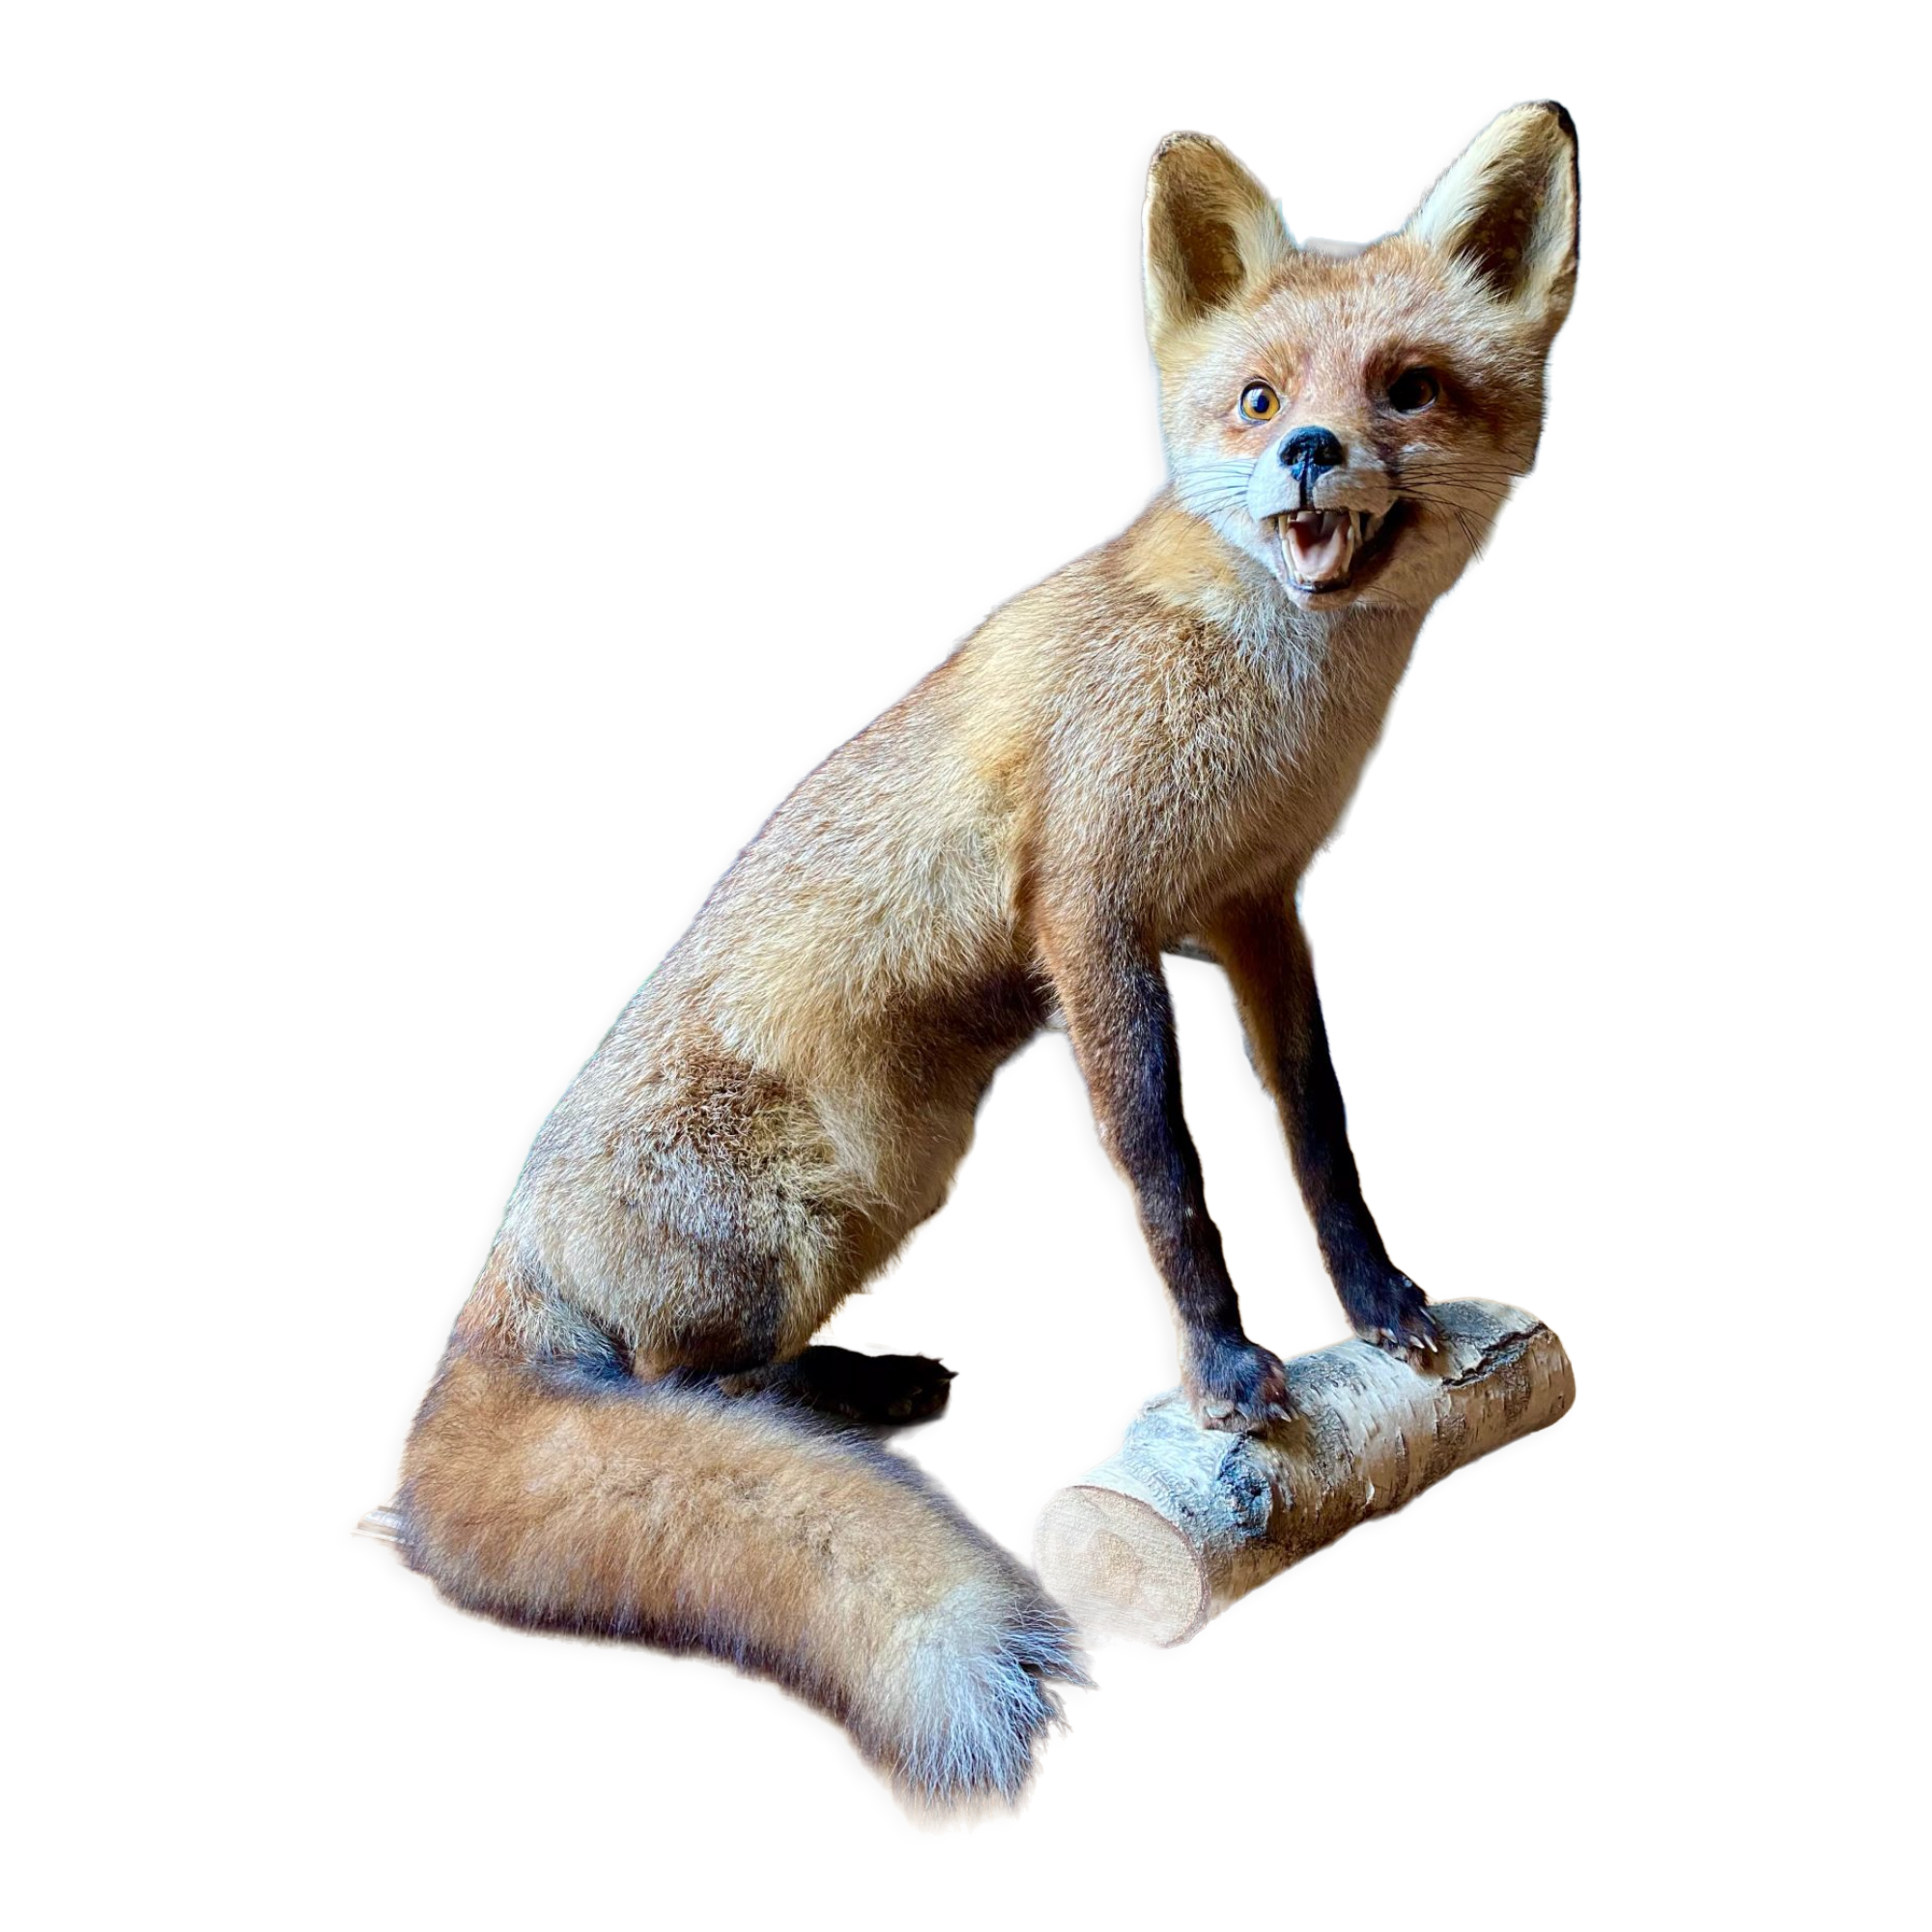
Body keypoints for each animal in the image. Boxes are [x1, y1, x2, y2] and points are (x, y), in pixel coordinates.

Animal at [353, 102, 1583, 1833]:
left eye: (1402, 388)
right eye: (1260, 398)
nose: (1309, 453)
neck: (1272, 707)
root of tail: (498, 1271)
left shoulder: (1262, 908)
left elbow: (1317, 1135)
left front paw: (1389, 1310)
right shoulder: (1097, 919)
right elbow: (1167, 1172)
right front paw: (1227, 1376)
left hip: (909, 1168)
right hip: (818, 1200)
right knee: (681, 1395)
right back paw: (853, 1412)